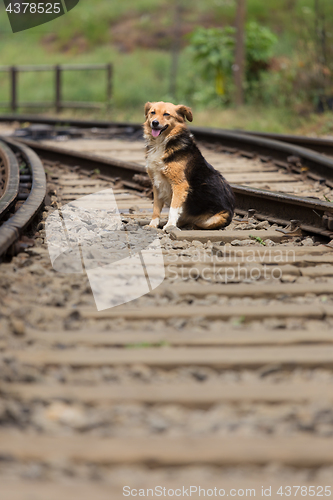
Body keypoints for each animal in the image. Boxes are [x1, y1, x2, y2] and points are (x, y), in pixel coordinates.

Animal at [143, 103, 233, 232]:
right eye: (152, 112)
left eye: (166, 114)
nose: (154, 123)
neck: (161, 143)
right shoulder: (156, 184)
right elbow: (156, 207)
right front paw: (153, 225)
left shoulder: (179, 184)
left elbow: (173, 208)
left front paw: (170, 226)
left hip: (216, 218)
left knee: (197, 223)